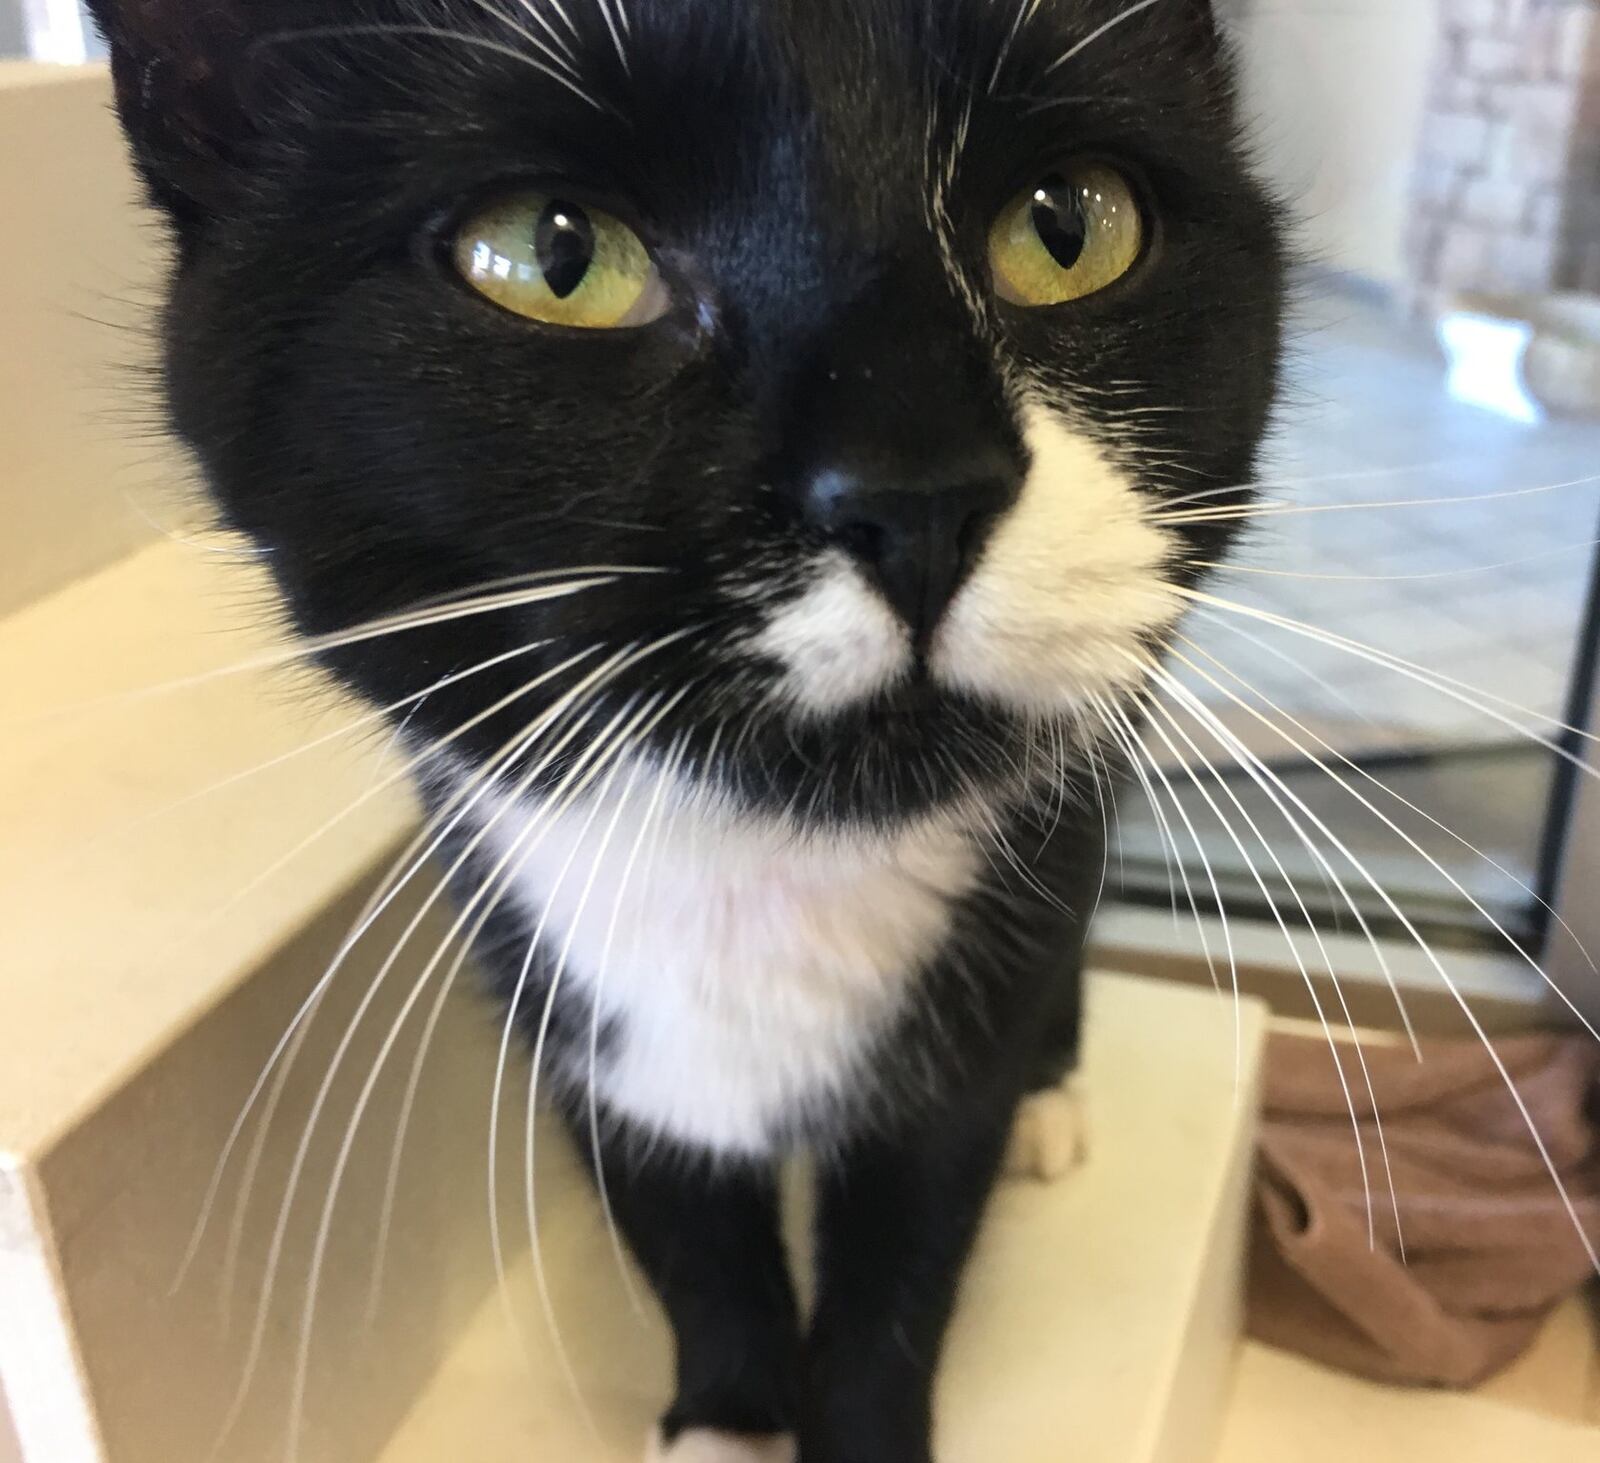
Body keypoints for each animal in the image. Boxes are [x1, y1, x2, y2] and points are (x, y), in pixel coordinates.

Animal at [87, 2, 1286, 1459]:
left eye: (1069, 224)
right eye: (553, 256)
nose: (918, 494)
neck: (760, 874)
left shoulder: (955, 1041)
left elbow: (907, 1249)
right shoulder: (576, 1024)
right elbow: (686, 1238)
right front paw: (726, 1417)